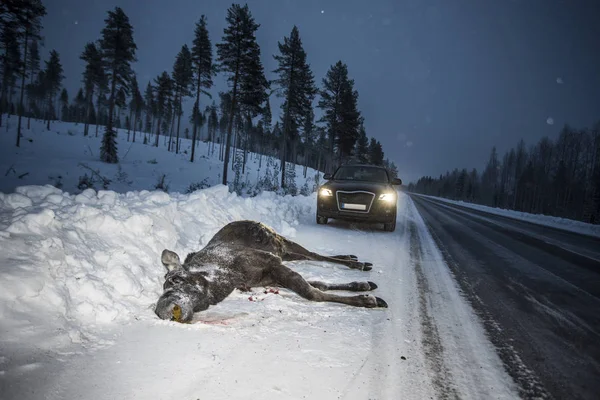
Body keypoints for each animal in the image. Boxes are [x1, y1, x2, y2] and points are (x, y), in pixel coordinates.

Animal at [155, 220, 390, 324]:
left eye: (175, 279)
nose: (161, 310)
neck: (227, 280)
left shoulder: (272, 263)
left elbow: (312, 293)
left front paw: (368, 300)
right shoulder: (270, 277)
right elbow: (320, 285)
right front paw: (363, 287)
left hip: (283, 244)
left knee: (315, 254)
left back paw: (357, 263)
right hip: (287, 253)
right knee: (310, 256)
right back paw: (354, 262)